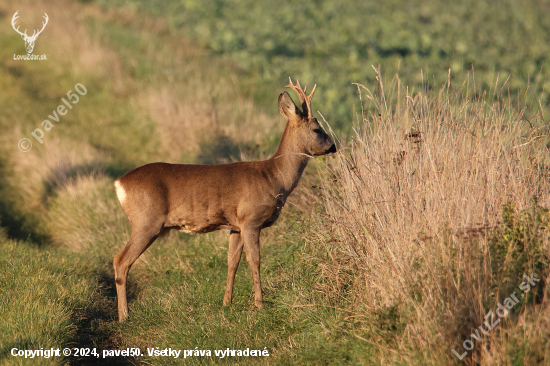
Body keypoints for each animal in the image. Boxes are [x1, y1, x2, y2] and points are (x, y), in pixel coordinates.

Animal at [113, 77, 334, 320]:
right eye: (317, 129)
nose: (333, 146)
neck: (275, 177)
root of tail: (120, 183)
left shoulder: (235, 226)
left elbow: (232, 262)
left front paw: (227, 302)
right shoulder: (250, 219)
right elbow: (255, 260)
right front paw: (259, 304)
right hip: (146, 222)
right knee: (120, 261)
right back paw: (124, 316)